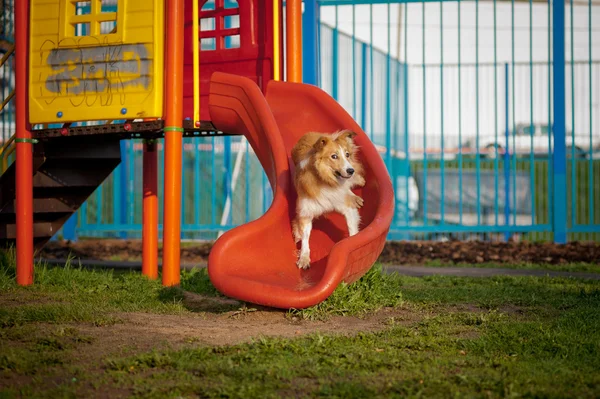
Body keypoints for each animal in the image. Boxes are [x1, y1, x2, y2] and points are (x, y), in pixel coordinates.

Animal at [290, 130, 366, 270]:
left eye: (347, 154)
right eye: (334, 156)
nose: (350, 171)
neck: (327, 180)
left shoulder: (346, 207)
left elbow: (352, 227)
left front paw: (354, 244)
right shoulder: (306, 213)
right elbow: (305, 238)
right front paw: (304, 258)